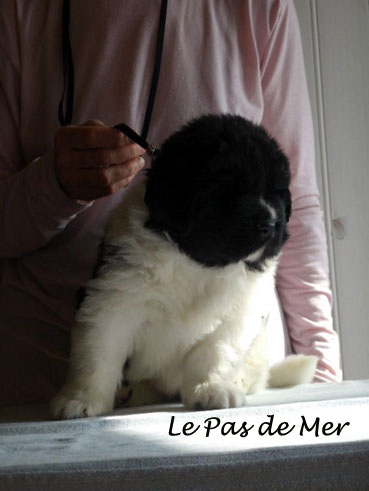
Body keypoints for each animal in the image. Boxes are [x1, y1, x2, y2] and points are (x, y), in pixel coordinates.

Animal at [51, 114, 316, 418]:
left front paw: (211, 388)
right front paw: (81, 401)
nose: (271, 224)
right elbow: (97, 354)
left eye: (277, 192)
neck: (198, 263)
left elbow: (215, 352)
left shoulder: (236, 316)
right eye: (227, 190)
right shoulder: (112, 301)